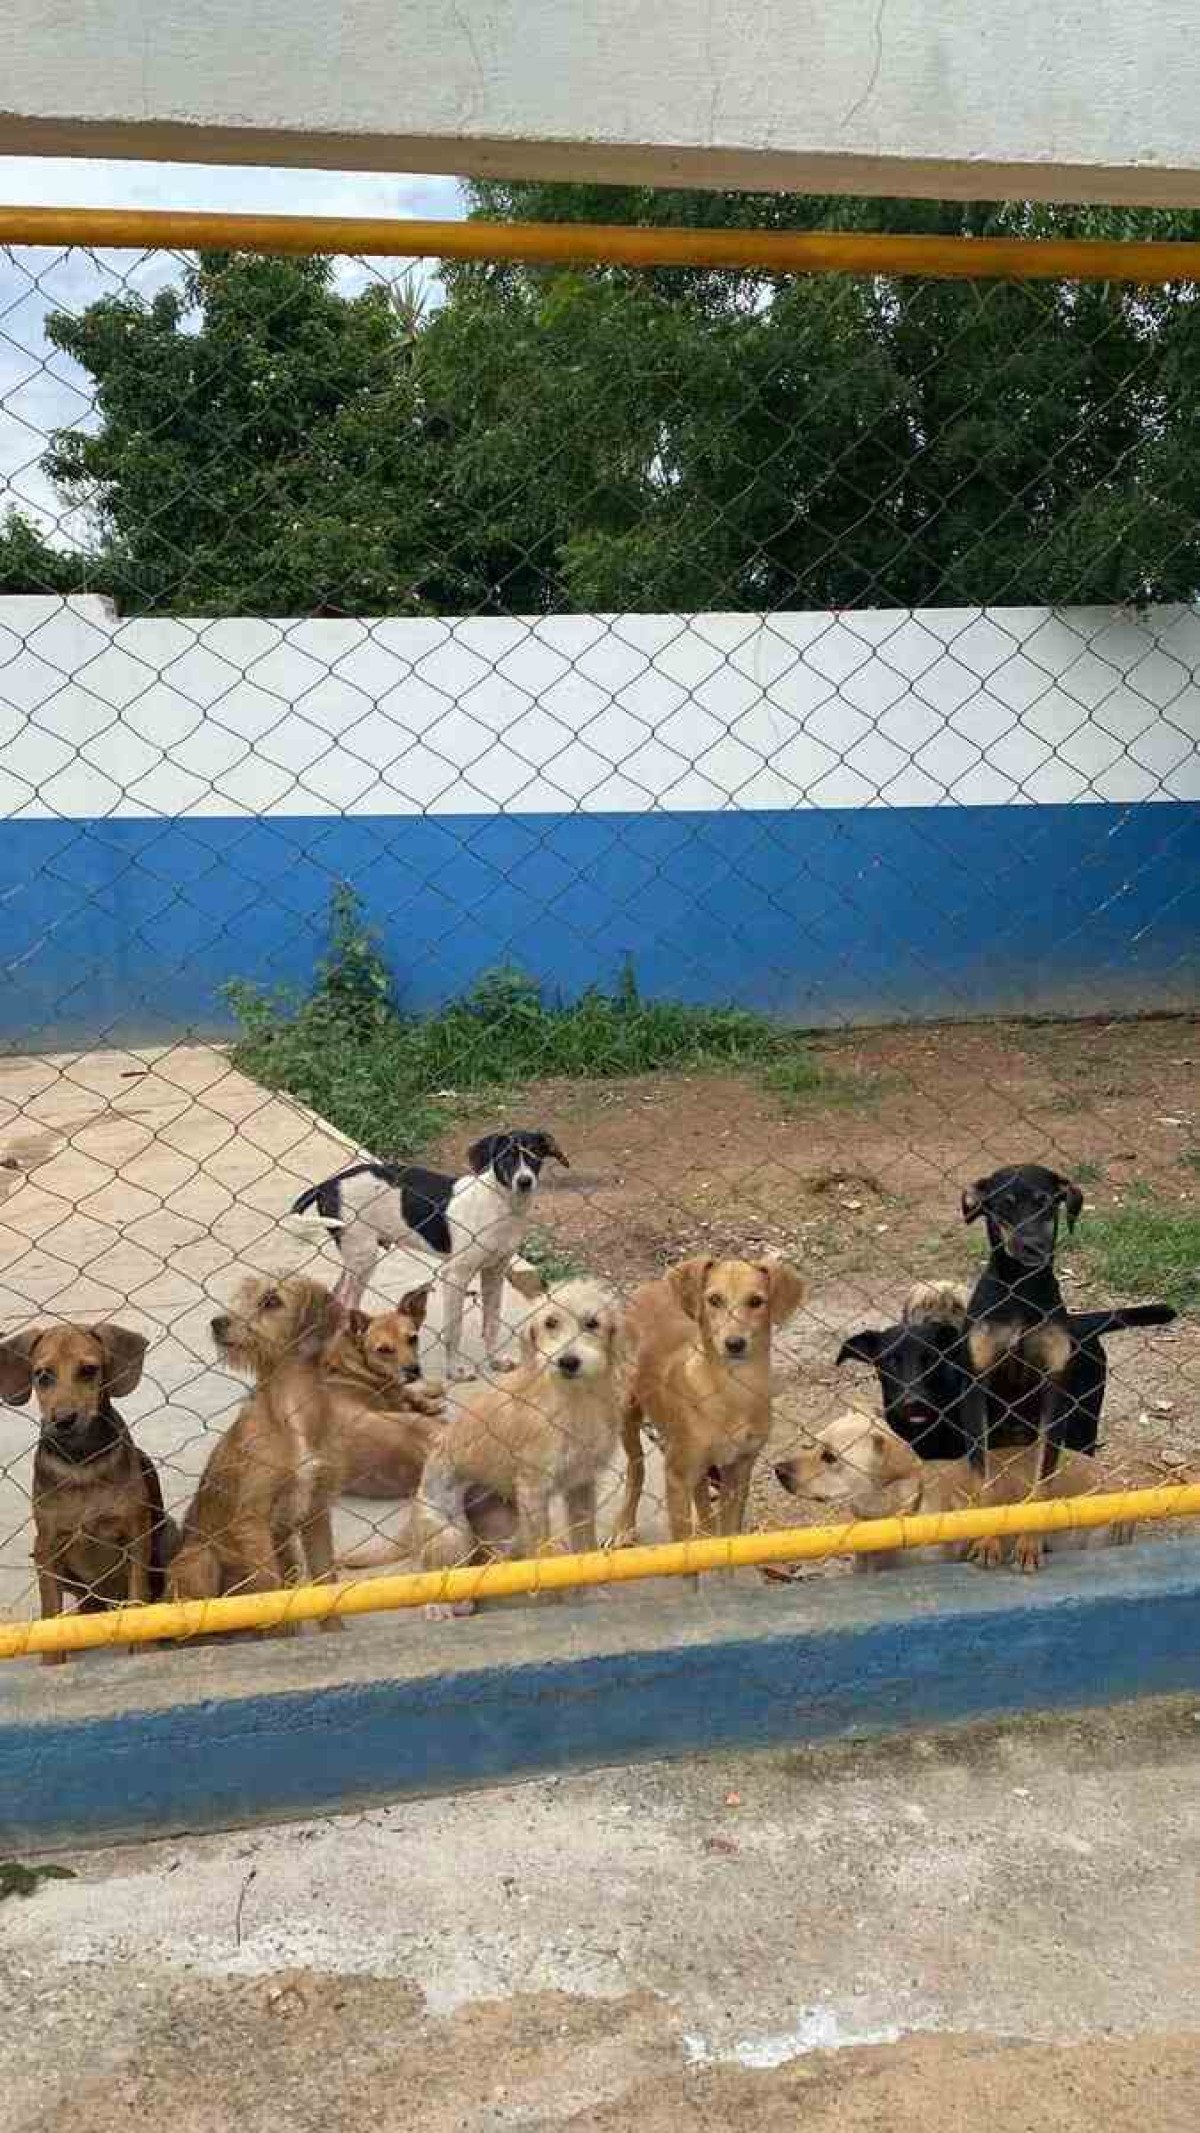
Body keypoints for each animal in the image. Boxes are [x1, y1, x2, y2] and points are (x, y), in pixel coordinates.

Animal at [0, 1322, 174, 1655]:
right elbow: (50, 1616)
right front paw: (53, 1658)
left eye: (89, 1370)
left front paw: (143, 1649)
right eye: (42, 1375)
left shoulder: (136, 1536)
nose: (64, 1420)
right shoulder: (48, 1545)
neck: (81, 1461)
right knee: (86, 1606)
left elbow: (139, 1599)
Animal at [166, 1262, 343, 1612]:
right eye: (241, 1296)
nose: (218, 1322)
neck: (290, 1409)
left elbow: (325, 1584)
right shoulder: (252, 1519)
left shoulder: (316, 1512)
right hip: (199, 1560)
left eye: (271, 1301)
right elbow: (268, 1590)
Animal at [292, 1134, 571, 1382]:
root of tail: (328, 1184)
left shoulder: (495, 1271)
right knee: (347, 1303)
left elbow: (492, 1323)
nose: (525, 1181)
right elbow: (454, 1330)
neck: (501, 1205)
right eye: (506, 1157)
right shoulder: (456, 1276)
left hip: (357, 1258)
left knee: (339, 1297)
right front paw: (455, 1372)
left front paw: (495, 1362)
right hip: (364, 1257)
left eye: (535, 1155)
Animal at [618, 1245, 805, 1552]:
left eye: (756, 1301)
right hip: (627, 1410)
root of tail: (651, 1285)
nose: (735, 1343)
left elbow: (727, 1533)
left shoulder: (739, 1469)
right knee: (636, 1469)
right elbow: (684, 1545)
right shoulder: (677, 1478)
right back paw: (624, 1527)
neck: (733, 1391)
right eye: (714, 1300)